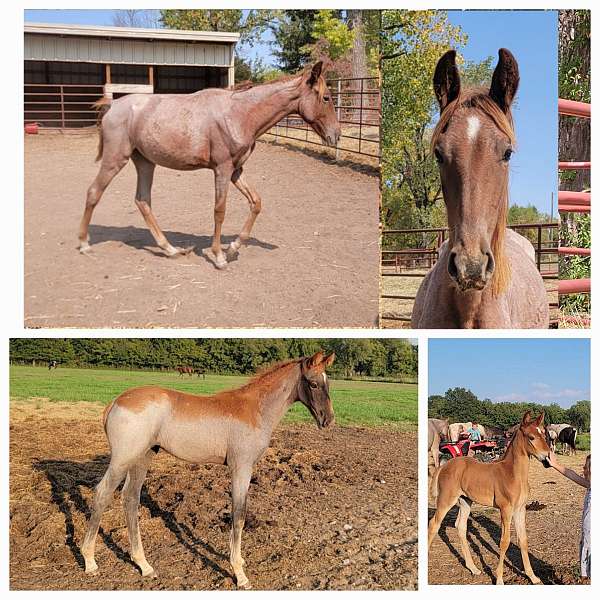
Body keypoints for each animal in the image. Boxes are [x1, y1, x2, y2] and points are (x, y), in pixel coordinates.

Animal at [78, 61, 342, 268]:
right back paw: (84, 244)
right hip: (115, 160)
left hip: (145, 162)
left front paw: (233, 247)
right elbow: (219, 211)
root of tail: (113, 106)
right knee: (93, 192)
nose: (336, 136)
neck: (239, 114)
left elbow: (256, 202)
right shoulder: (222, 170)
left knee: (143, 201)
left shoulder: (236, 171)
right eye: (326, 98)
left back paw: (171, 250)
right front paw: (219, 256)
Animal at [79, 350, 336, 588]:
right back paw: (90, 561)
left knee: (130, 498)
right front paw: (240, 573)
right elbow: (238, 515)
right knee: (102, 493)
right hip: (123, 459)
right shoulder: (241, 467)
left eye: (327, 382)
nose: (329, 420)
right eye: (313, 383)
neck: (255, 409)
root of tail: (115, 402)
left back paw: (144, 565)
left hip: (142, 457)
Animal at [428, 410, 552, 584]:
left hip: (465, 501)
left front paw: (532, 576)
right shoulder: (505, 509)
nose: (547, 457)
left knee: (460, 526)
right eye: (531, 437)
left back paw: (473, 568)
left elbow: (523, 540)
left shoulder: (520, 509)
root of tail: (444, 465)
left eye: (544, 434)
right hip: (446, 500)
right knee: (434, 524)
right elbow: (504, 541)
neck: (513, 474)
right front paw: (499, 579)